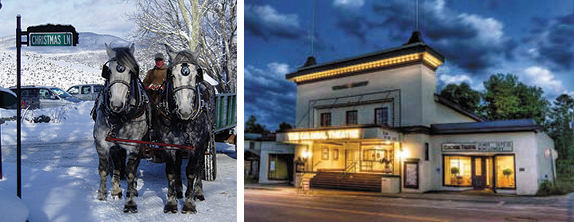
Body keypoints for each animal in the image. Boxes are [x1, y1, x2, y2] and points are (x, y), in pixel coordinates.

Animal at [93, 43, 151, 213]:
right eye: (109, 71)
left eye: (132, 71)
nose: (116, 105)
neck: (118, 117)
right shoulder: (102, 142)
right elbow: (104, 169)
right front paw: (102, 194)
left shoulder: (134, 146)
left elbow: (131, 172)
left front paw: (130, 202)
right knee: (118, 165)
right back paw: (116, 190)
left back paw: (133, 190)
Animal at [158, 45, 216, 213]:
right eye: (171, 75)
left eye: (197, 75)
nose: (185, 111)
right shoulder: (168, 145)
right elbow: (171, 172)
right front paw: (171, 202)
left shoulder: (196, 145)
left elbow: (191, 172)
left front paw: (189, 203)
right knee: (178, 165)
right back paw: (178, 191)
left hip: (206, 141)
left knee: (199, 166)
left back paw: (198, 192)